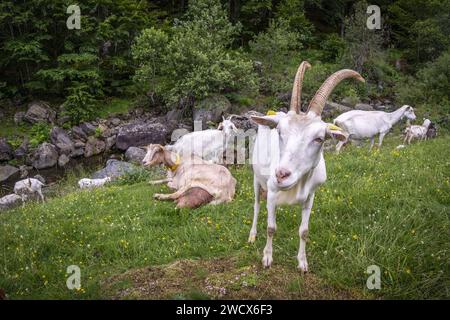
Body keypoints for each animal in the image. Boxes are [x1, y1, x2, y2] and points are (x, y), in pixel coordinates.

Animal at [251, 61, 364, 272]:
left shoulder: (311, 196)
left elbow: (304, 231)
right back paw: (252, 235)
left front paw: (302, 263)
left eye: (319, 138)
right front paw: (267, 258)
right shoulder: (272, 191)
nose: (281, 175)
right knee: (256, 204)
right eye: (279, 131)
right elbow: (271, 228)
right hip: (256, 179)